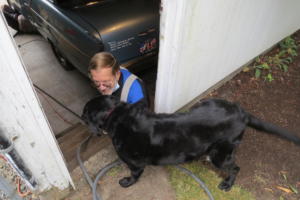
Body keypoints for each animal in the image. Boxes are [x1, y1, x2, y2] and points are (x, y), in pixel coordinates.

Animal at [82, 96, 300, 191]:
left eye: (84, 113)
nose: (80, 118)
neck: (117, 116)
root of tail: (242, 112)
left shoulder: (135, 163)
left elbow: (134, 174)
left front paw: (127, 182)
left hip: (221, 154)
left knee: (235, 168)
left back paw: (227, 184)